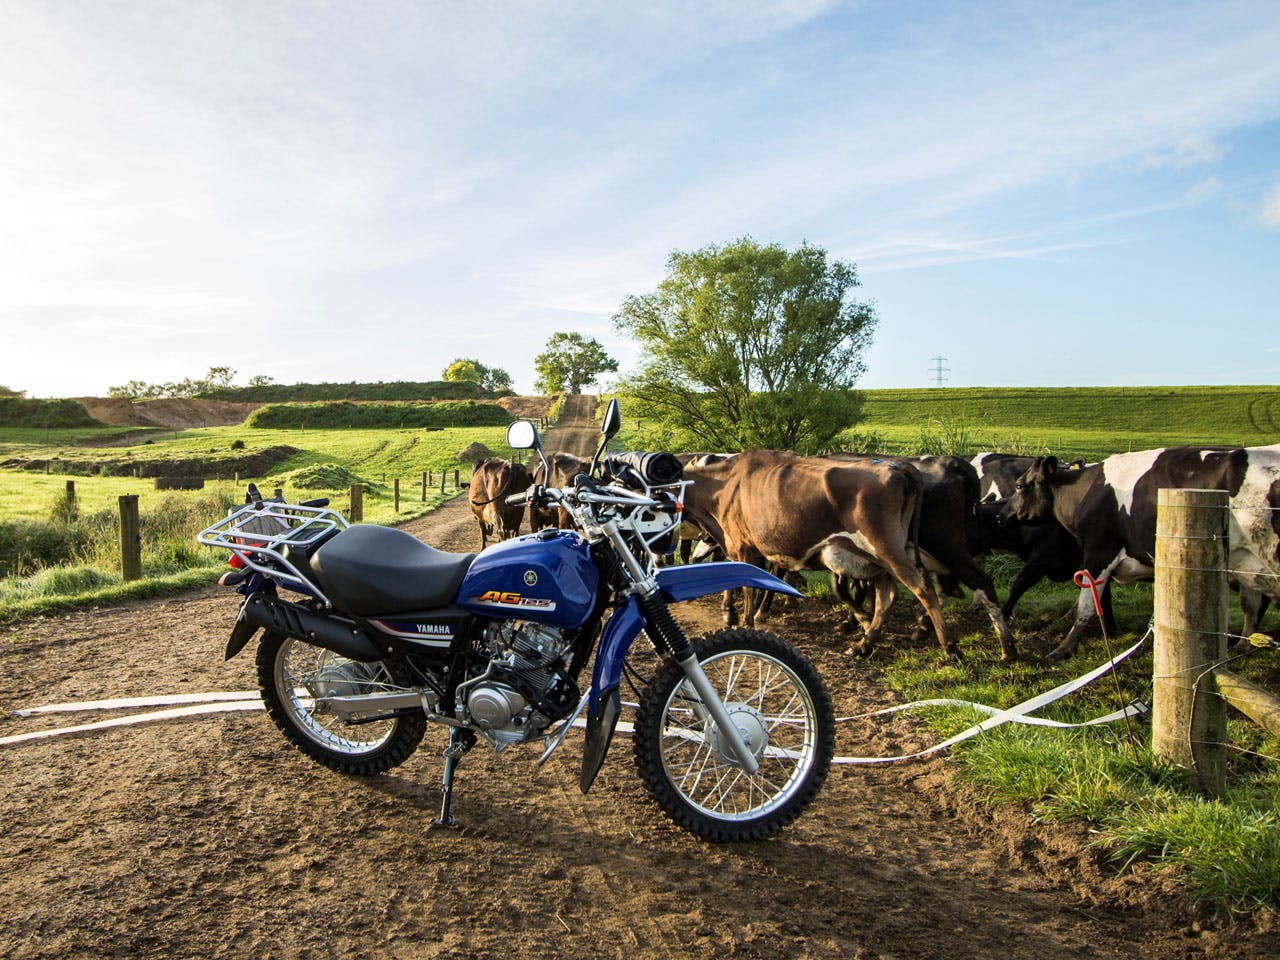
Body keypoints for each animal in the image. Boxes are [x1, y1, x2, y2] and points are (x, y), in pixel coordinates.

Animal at [680, 450, 952, 660]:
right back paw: (863, 644)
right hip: (881, 558)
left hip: (887, 549)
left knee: (923, 589)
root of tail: (897, 466)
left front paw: (744, 622)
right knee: (887, 598)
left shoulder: (744, 546)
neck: (724, 484)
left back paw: (949, 647)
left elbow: (748, 587)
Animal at [1003, 445, 1274, 660]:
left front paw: (1064, 649)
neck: (1086, 491)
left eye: (1020, 485)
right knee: (1253, 604)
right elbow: (1103, 599)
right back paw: (1243, 644)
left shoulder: (1098, 552)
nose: (1002, 513)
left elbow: (1087, 605)